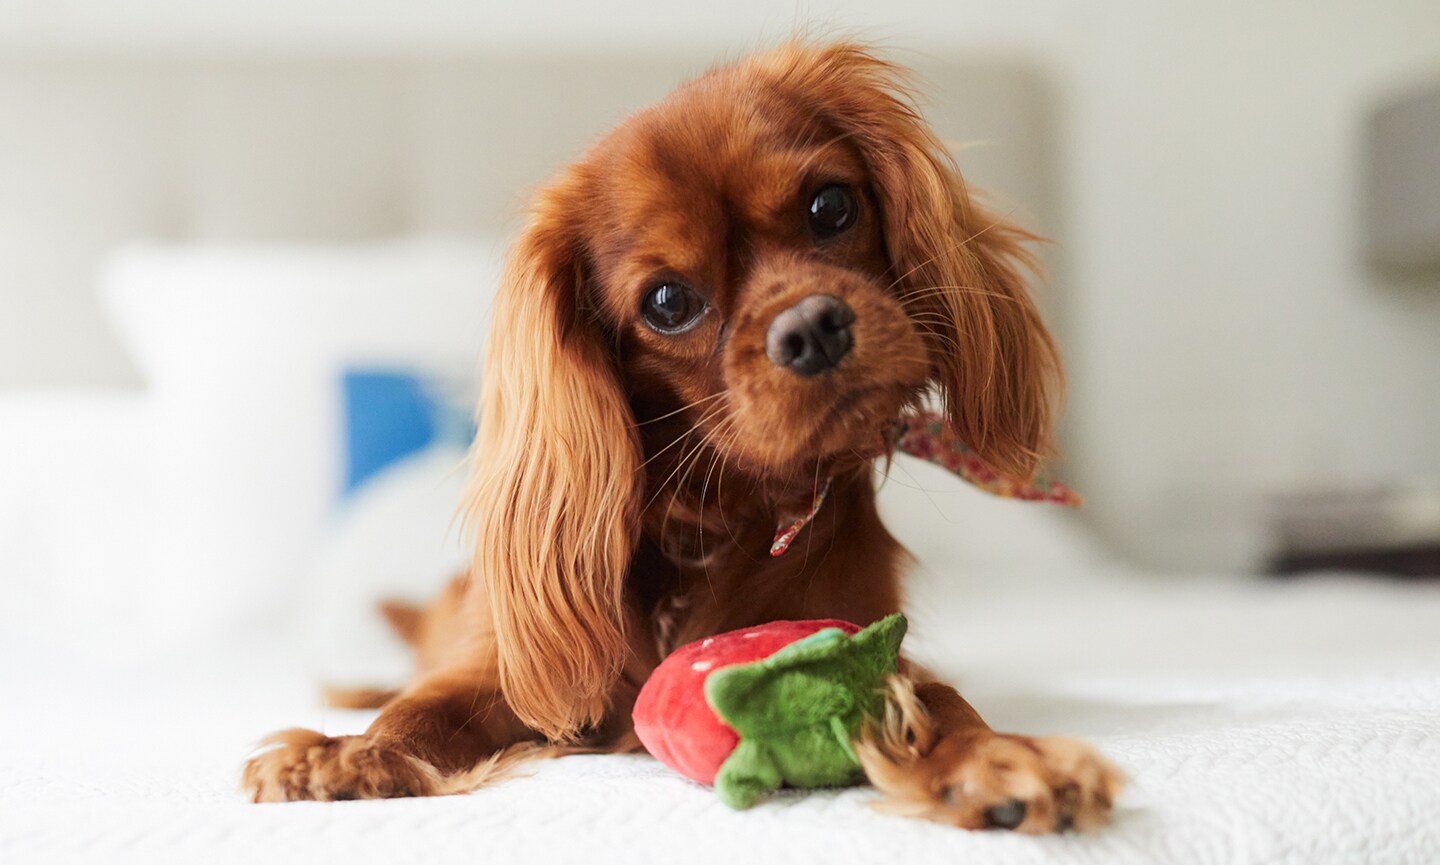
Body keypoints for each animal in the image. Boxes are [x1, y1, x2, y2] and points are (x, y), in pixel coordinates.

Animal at [244, 40, 1123, 829]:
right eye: (668, 303)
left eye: (831, 206)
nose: (812, 326)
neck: (707, 528)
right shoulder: (511, 673)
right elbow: (431, 705)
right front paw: (354, 752)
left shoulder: (868, 641)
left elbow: (935, 698)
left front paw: (998, 757)